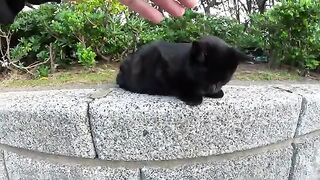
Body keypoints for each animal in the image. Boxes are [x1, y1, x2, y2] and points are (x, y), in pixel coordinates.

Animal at [116, 35, 249, 105]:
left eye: (223, 80)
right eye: (205, 79)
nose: (212, 89)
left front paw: (216, 92)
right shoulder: (164, 72)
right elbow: (178, 85)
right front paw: (193, 97)